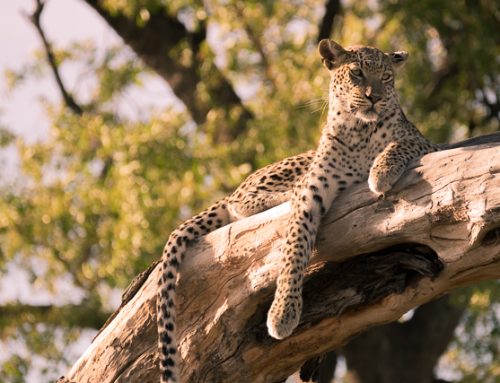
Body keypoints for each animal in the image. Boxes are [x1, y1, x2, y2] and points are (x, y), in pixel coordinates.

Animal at [155, 38, 434, 380]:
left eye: (387, 78)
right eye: (356, 73)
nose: (376, 97)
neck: (358, 130)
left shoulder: (428, 145)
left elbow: (400, 144)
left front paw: (380, 172)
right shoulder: (313, 188)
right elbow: (294, 247)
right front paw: (282, 313)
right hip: (288, 168)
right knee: (239, 202)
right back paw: (281, 195)